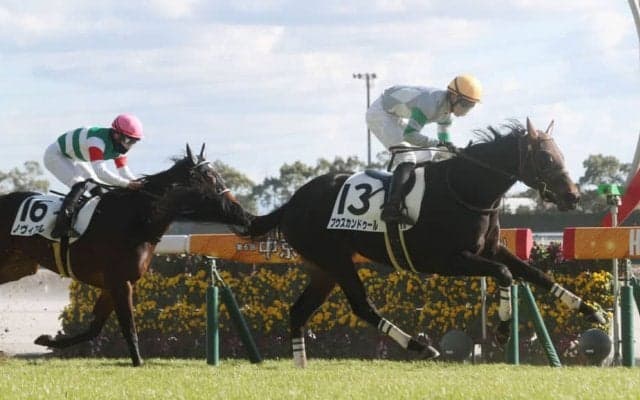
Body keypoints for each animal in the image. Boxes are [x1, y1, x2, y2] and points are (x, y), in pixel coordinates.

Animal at [0, 144, 251, 366]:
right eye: (209, 177)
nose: (239, 209)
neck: (137, 219)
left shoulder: (115, 283)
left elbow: (94, 328)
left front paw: (48, 340)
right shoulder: (119, 282)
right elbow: (128, 326)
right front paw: (138, 362)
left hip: (18, 266)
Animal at [248, 118, 606, 367]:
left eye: (559, 154)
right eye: (545, 158)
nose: (573, 196)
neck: (466, 189)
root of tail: (291, 203)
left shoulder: (490, 249)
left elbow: (536, 274)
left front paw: (591, 311)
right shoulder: (447, 260)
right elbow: (505, 273)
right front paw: (503, 329)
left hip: (323, 268)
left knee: (298, 311)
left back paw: (301, 363)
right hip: (335, 260)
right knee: (362, 306)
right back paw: (421, 346)